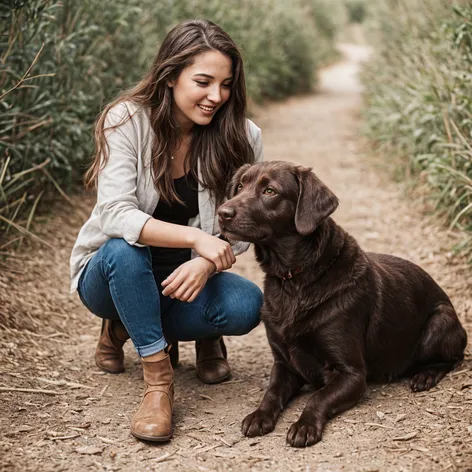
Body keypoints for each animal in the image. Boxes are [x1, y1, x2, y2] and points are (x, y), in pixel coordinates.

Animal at [218, 160, 468, 448]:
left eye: (270, 191)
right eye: (239, 187)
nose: (222, 212)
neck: (296, 279)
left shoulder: (352, 374)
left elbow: (318, 397)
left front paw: (304, 425)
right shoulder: (283, 365)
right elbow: (271, 392)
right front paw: (259, 416)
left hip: (438, 324)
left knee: (453, 358)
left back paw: (425, 376)